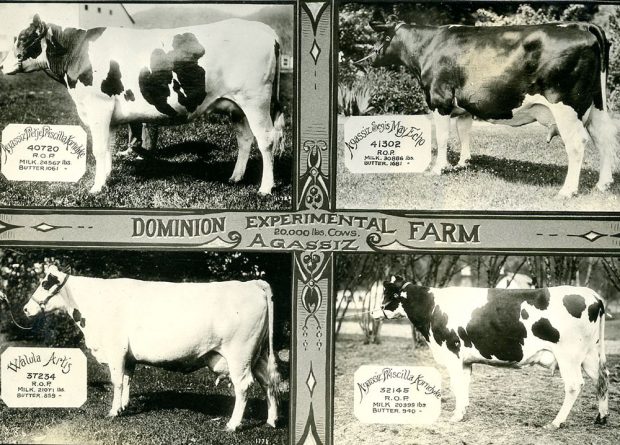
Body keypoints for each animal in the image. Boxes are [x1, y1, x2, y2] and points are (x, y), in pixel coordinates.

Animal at [1, 15, 284, 193]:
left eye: (23, 38)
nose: (2, 66)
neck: (75, 52)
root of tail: (264, 29)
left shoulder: (97, 107)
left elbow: (99, 149)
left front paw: (95, 188)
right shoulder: (109, 114)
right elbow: (109, 148)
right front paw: (106, 179)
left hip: (256, 100)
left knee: (266, 140)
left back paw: (265, 188)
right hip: (236, 106)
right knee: (245, 139)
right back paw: (235, 177)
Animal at [23, 266, 280, 428]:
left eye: (45, 284)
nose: (26, 309)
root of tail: (252, 284)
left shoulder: (115, 349)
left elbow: (117, 381)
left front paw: (113, 411)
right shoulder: (128, 356)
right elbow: (127, 379)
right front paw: (124, 406)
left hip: (240, 354)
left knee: (244, 386)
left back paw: (233, 424)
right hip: (258, 355)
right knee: (268, 383)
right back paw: (272, 420)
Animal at [366, 18, 616, 196]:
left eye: (381, 37)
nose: (369, 58)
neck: (428, 45)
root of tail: (582, 25)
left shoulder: (440, 99)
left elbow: (443, 136)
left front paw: (439, 168)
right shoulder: (464, 105)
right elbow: (464, 131)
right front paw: (463, 163)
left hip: (565, 105)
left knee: (577, 143)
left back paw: (567, 191)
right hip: (597, 104)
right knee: (603, 139)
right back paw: (603, 184)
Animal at [372, 274, 612, 426]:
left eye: (386, 295)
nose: (373, 312)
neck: (431, 308)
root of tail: (593, 295)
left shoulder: (452, 353)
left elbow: (456, 385)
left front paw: (455, 416)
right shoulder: (465, 360)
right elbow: (464, 386)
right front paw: (462, 412)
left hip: (568, 355)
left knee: (574, 385)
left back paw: (556, 422)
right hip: (590, 354)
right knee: (602, 378)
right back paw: (601, 417)